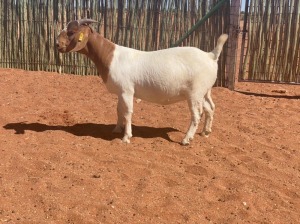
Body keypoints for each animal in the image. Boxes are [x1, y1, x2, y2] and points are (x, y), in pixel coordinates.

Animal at [55, 19, 227, 145]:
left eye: (71, 32)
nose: (57, 45)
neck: (111, 56)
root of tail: (211, 55)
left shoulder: (127, 91)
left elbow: (128, 112)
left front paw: (126, 137)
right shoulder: (121, 92)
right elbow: (119, 110)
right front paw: (117, 129)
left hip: (195, 92)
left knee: (196, 114)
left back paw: (186, 140)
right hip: (204, 91)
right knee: (210, 108)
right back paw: (205, 132)